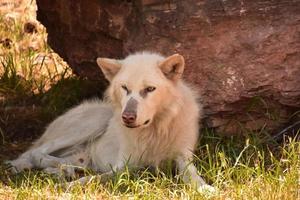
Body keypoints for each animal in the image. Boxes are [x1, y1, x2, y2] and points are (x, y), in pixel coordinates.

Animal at [8, 51, 214, 192]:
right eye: (124, 88)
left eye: (149, 89)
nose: (127, 117)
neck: (154, 131)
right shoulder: (123, 167)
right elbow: (94, 179)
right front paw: (71, 186)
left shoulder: (183, 157)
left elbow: (193, 175)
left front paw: (204, 188)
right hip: (95, 121)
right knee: (35, 153)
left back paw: (65, 169)